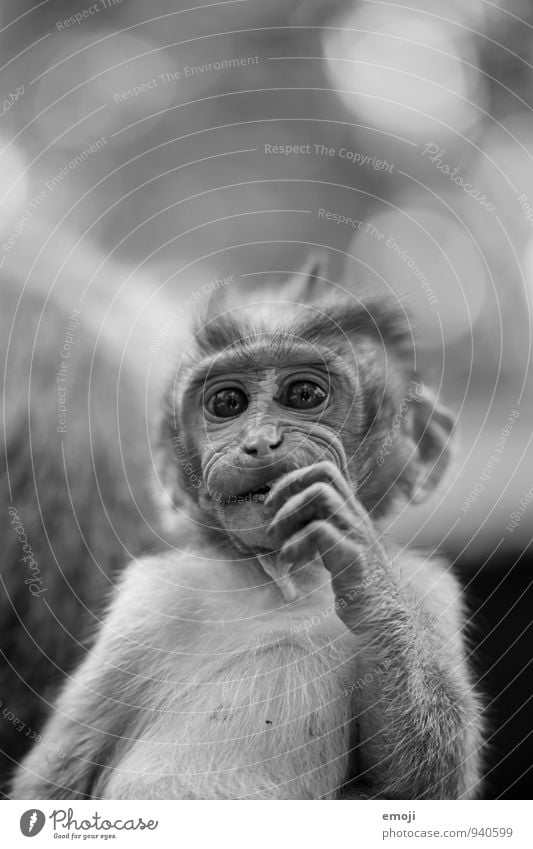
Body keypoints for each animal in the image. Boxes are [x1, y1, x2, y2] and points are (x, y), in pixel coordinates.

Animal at [10, 260, 482, 800]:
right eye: (227, 402)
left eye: (304, 394)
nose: (258, 443)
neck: (282, 583)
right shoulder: (146, 603)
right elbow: (52, 779)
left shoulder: (431, 590)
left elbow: (418, 784)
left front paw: (365, 573)